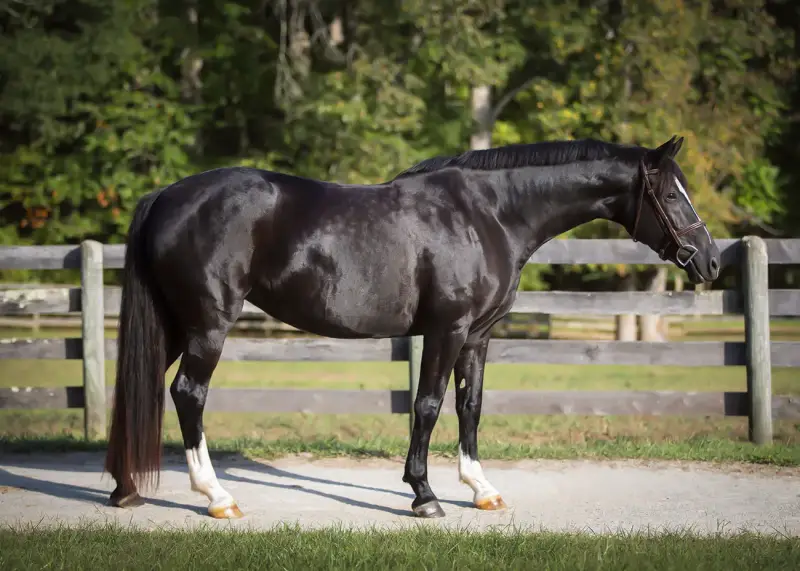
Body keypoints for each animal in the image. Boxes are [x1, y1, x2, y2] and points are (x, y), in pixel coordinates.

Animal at [104, 135, 720, 519]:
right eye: (671, 194)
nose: (712, 262)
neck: (490, 214)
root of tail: (166, 195)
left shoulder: (478, 335)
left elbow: (469, 407)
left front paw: (481, 489)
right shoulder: (447, 330)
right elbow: (427, 405)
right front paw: (424, 494)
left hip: (173, 327)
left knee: (138, 389)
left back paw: (124, 488)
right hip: (207, 326)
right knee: (189, 393)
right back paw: (216, 496)